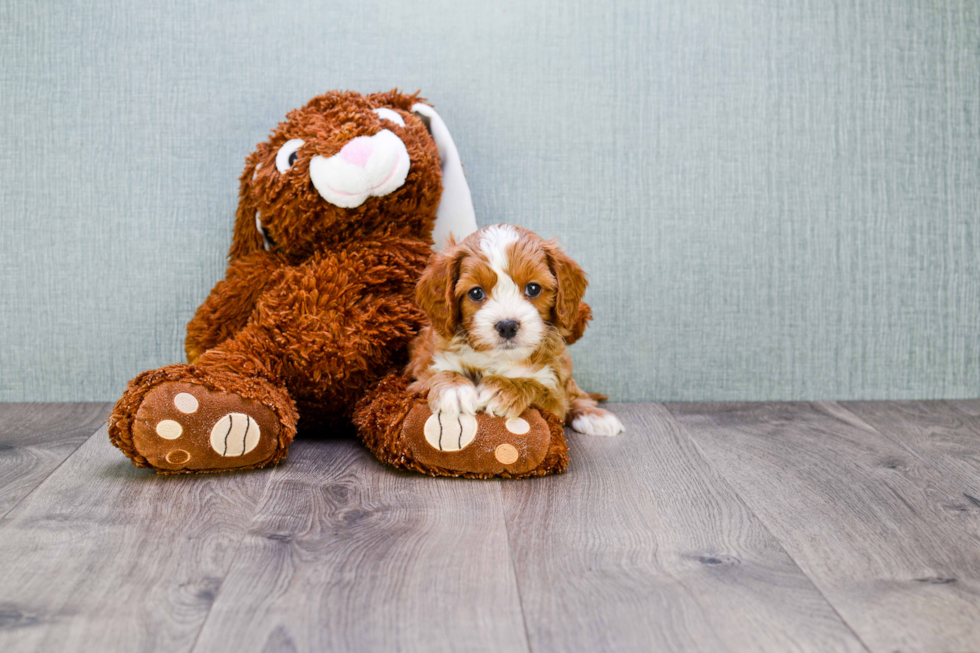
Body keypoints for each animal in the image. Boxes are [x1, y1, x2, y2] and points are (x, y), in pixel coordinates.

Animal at [408, 222, 624, 436]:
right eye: (476, 293)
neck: (500, 358)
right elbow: (434, 375)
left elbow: (542, 389)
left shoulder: (554, 397)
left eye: (533, 288)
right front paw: (454, 388)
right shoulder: (419, 374)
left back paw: (594, 415)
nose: (507, 326)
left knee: (573, 392)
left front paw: (505, 389)